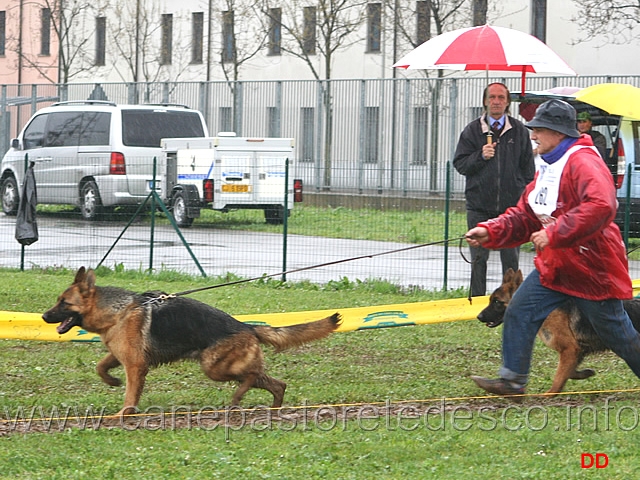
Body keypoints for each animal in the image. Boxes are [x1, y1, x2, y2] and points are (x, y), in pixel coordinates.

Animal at [42, 268, 342, 414]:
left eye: (64, 303)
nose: (44, 316)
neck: (117, 311)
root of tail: (245, 326)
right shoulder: (121, 355)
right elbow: (100, 367)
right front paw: (112, 381)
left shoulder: (136, 366)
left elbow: (130, 395)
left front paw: (122, 415)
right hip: (224, 368)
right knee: (275, 383)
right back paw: (272, 409)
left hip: (214, 367)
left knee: (251, 376)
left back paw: (237, 398)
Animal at [478, 268, 640, 396]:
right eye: (490, 300)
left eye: (497, 302)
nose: (479, 316)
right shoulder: (574, 352)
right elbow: (568, 371)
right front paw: (585, 373)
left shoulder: (570, 348)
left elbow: (559, 376)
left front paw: (549, 395)